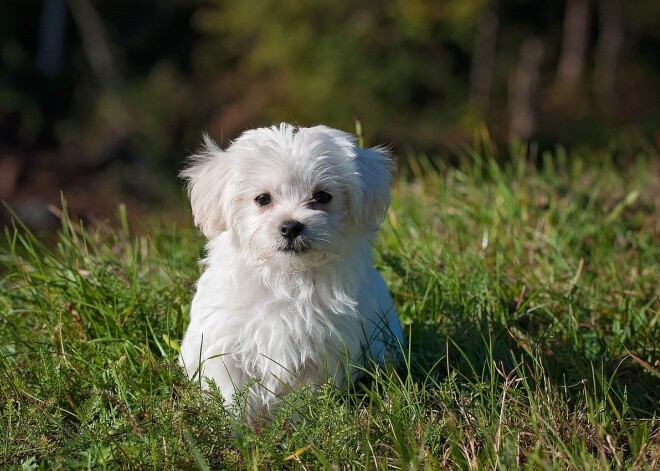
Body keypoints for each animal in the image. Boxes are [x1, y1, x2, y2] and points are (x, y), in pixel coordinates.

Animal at [179, 123, 402, 418]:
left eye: (322, 196)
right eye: (262, 199)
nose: (290, 226)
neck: (286, 276)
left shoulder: (322, 351)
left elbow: (304, 395)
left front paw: (300, 422)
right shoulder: (224, 344)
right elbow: (232, 392)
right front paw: (237, 426)